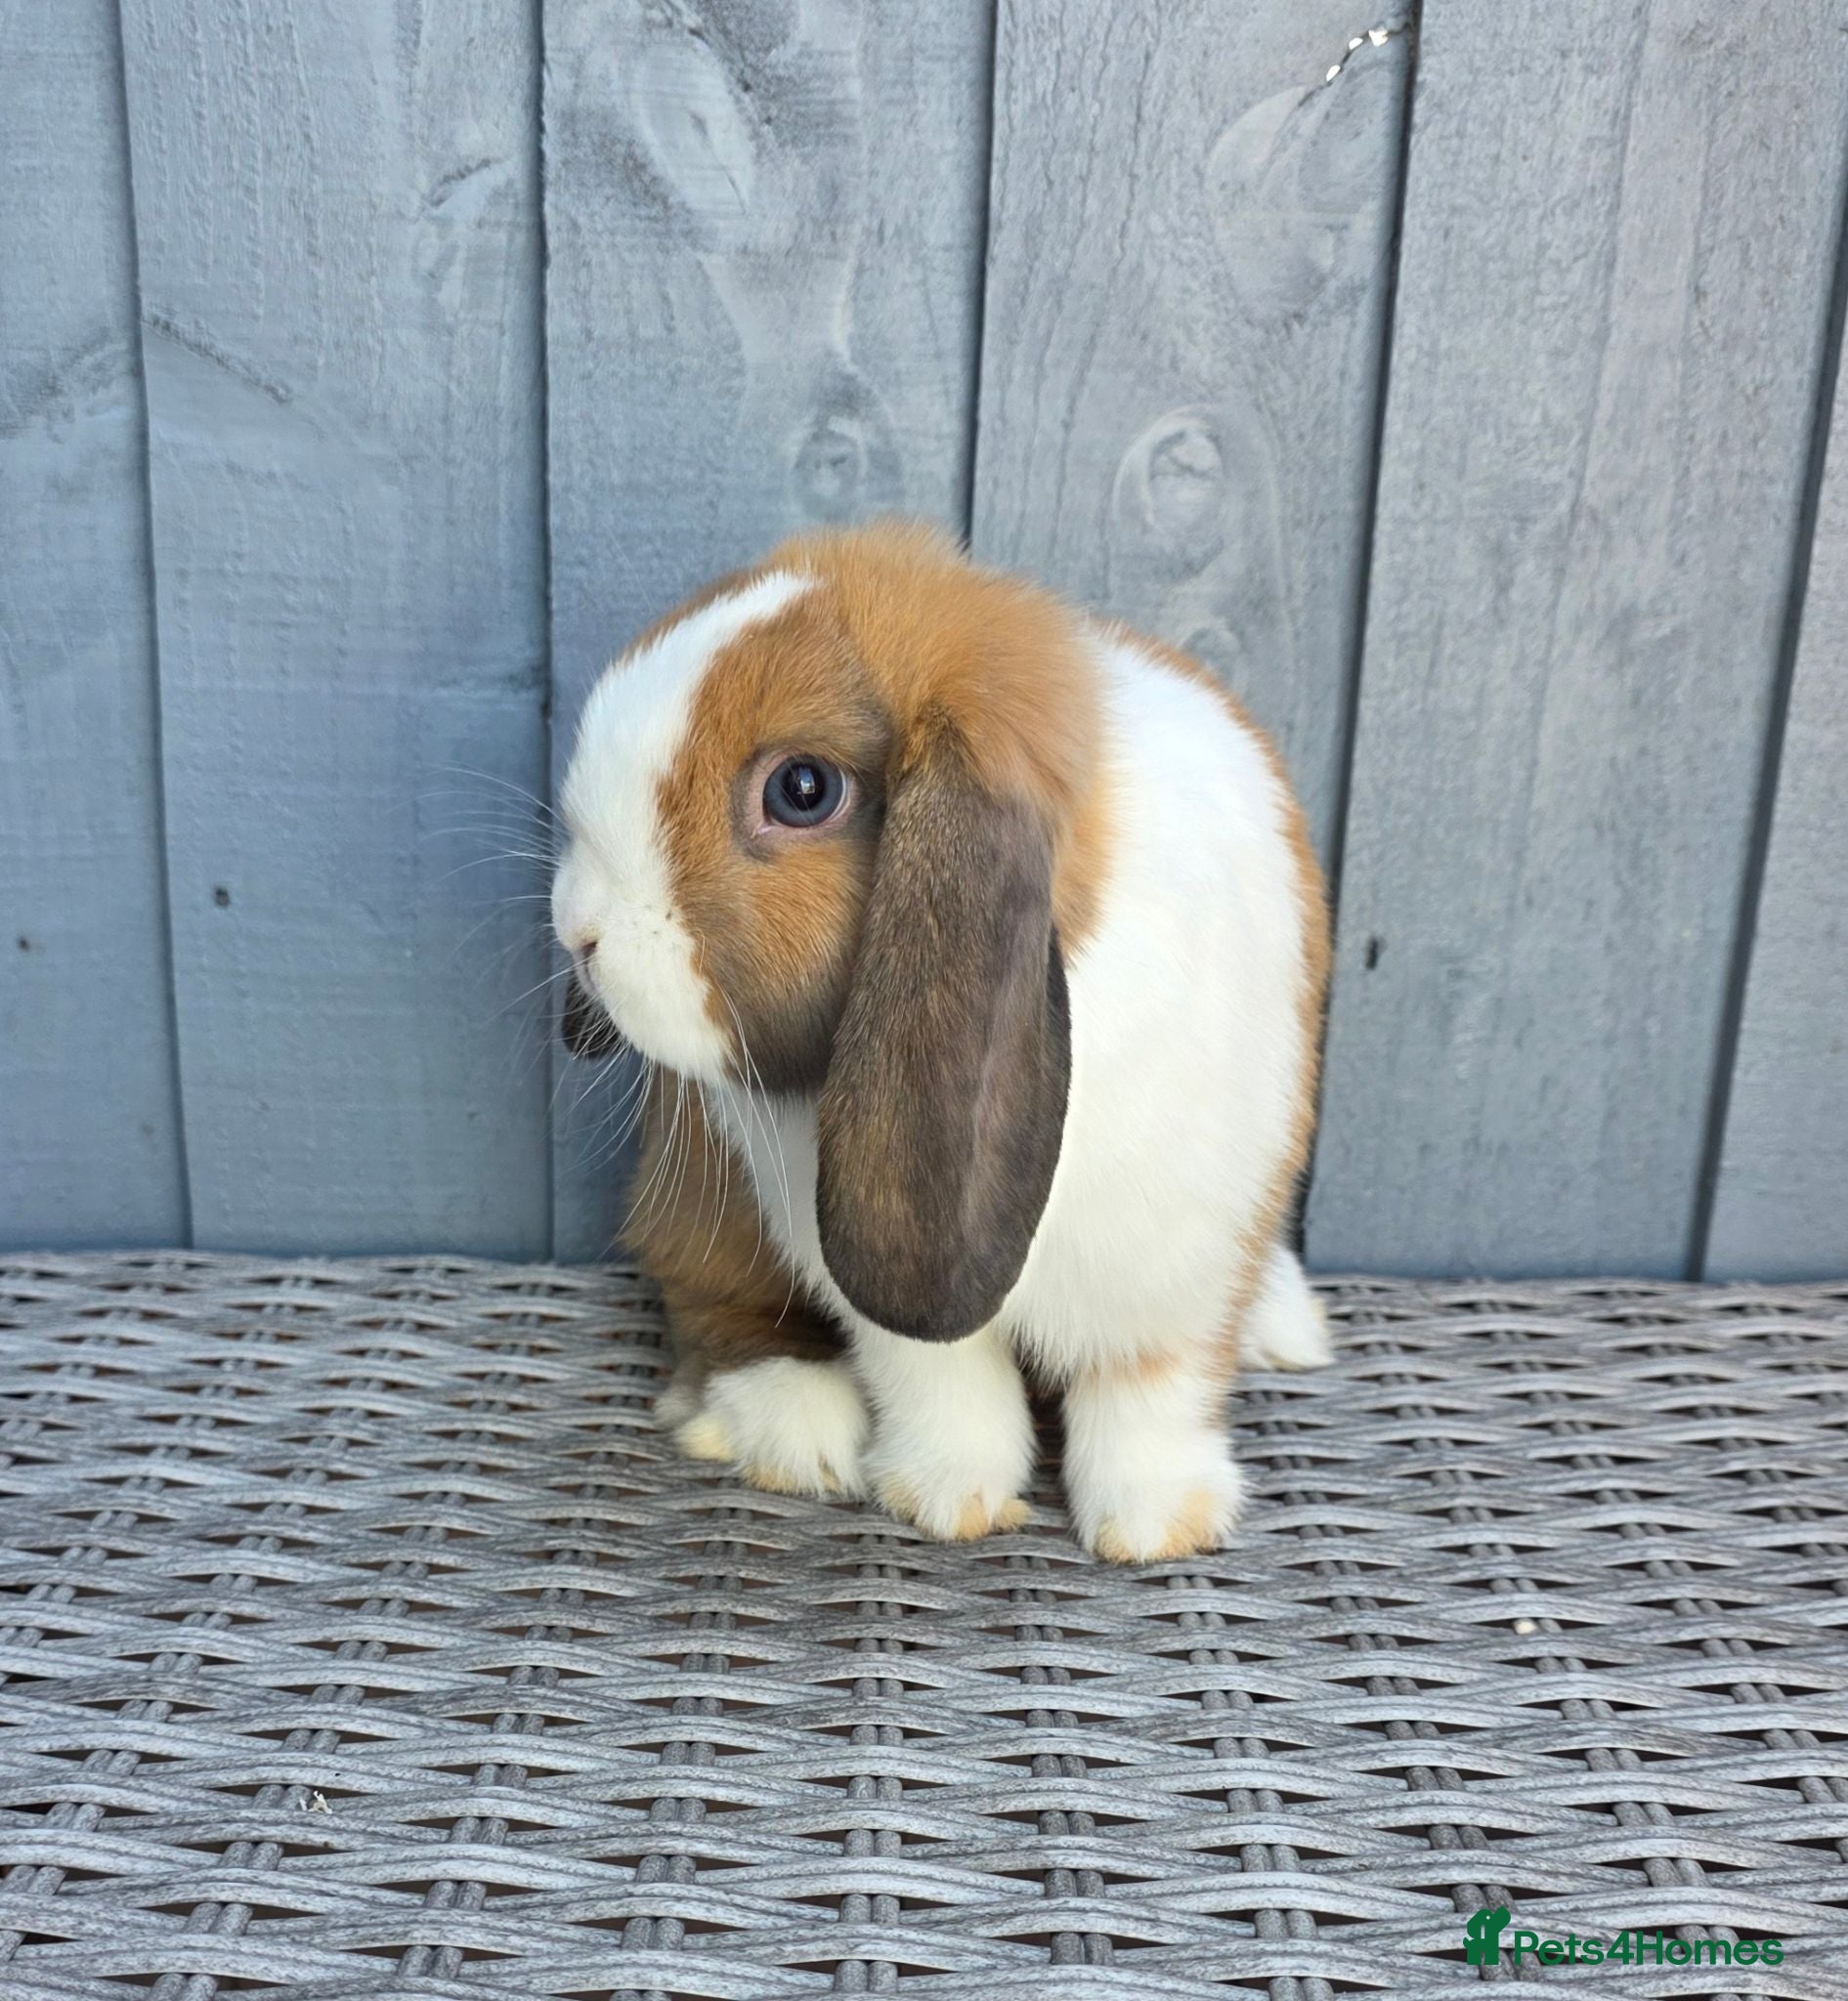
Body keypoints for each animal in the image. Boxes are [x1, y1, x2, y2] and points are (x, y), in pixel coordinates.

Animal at [552, 521, 1331, 1561]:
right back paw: (796, 1427)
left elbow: (1150, 1395)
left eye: (803, 789)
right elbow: (945, 1381)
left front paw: (1156, 1526)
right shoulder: (874, 1273)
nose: (579, 931)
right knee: (707, 1295)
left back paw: (1287, 1329)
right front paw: (946, 1500)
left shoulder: (1183, 1267)